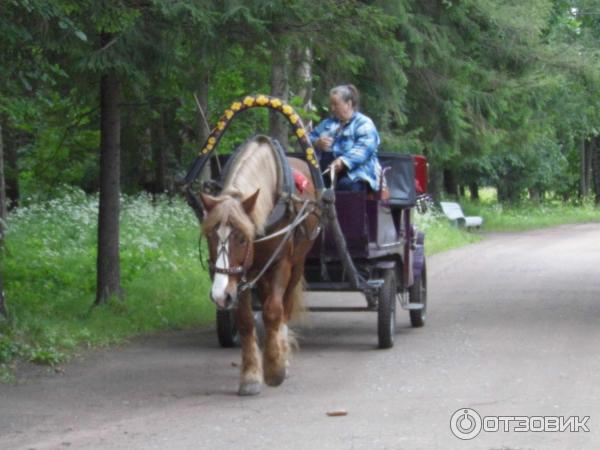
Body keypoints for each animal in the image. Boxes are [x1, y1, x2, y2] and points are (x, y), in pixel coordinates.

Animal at [198, 135, 322, 396]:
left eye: (241, 238)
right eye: (210, 236)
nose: (220, 295)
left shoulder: (280, 264)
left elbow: (273, 311)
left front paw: (275, 368)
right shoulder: (241, 276)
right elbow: (245, 320)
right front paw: (251, 375)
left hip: (297, 264)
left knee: (284, 306)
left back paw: (282, 355)